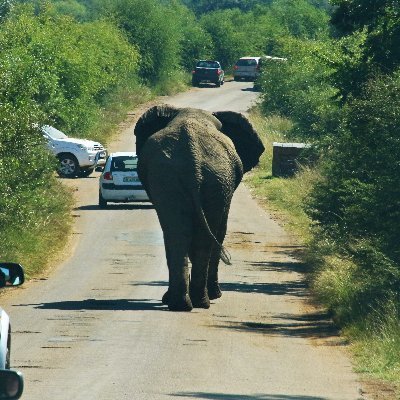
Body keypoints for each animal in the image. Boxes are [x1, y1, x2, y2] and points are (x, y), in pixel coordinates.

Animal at [134, 104, 266, 310]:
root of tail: (192, 161)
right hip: (213, 180)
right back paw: (202, 301)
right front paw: (216, 295)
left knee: (177, 234)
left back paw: (182, 304)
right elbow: (221, 230)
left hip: (171, 178)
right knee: (204, 236)